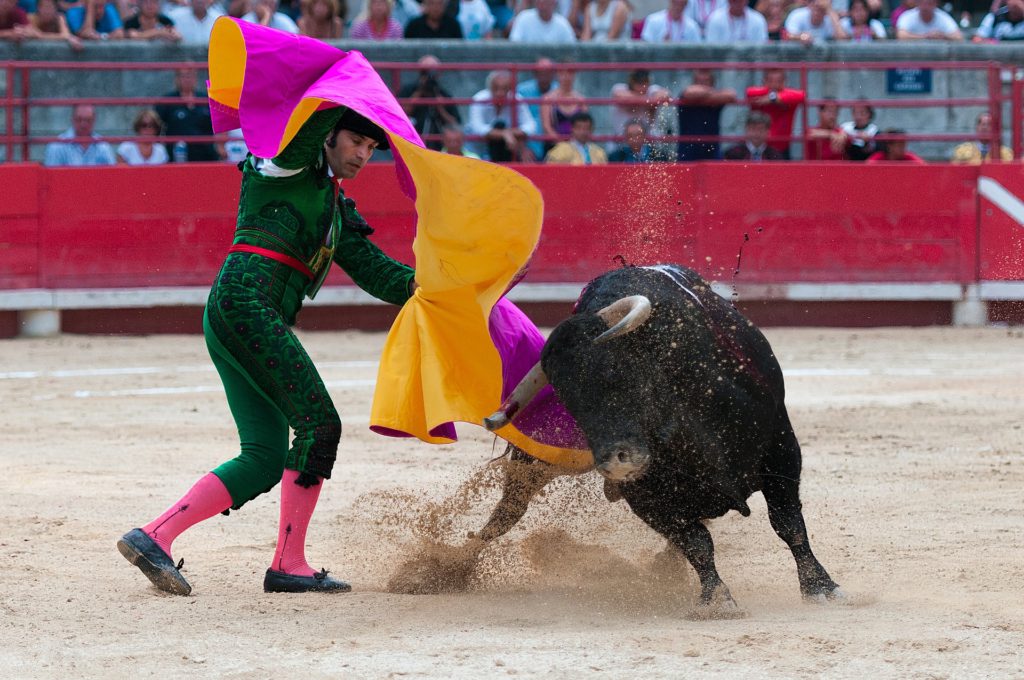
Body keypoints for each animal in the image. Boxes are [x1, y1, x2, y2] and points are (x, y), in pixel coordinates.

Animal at [479, 266, 839, 610]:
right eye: (568, 403)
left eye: (618, 373)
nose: (615, 462)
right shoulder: (646, 496)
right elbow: (696, 543)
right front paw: (716, 599)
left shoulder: (781, 447)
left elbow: (788, 522)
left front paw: (820, 587)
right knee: (509, 510)